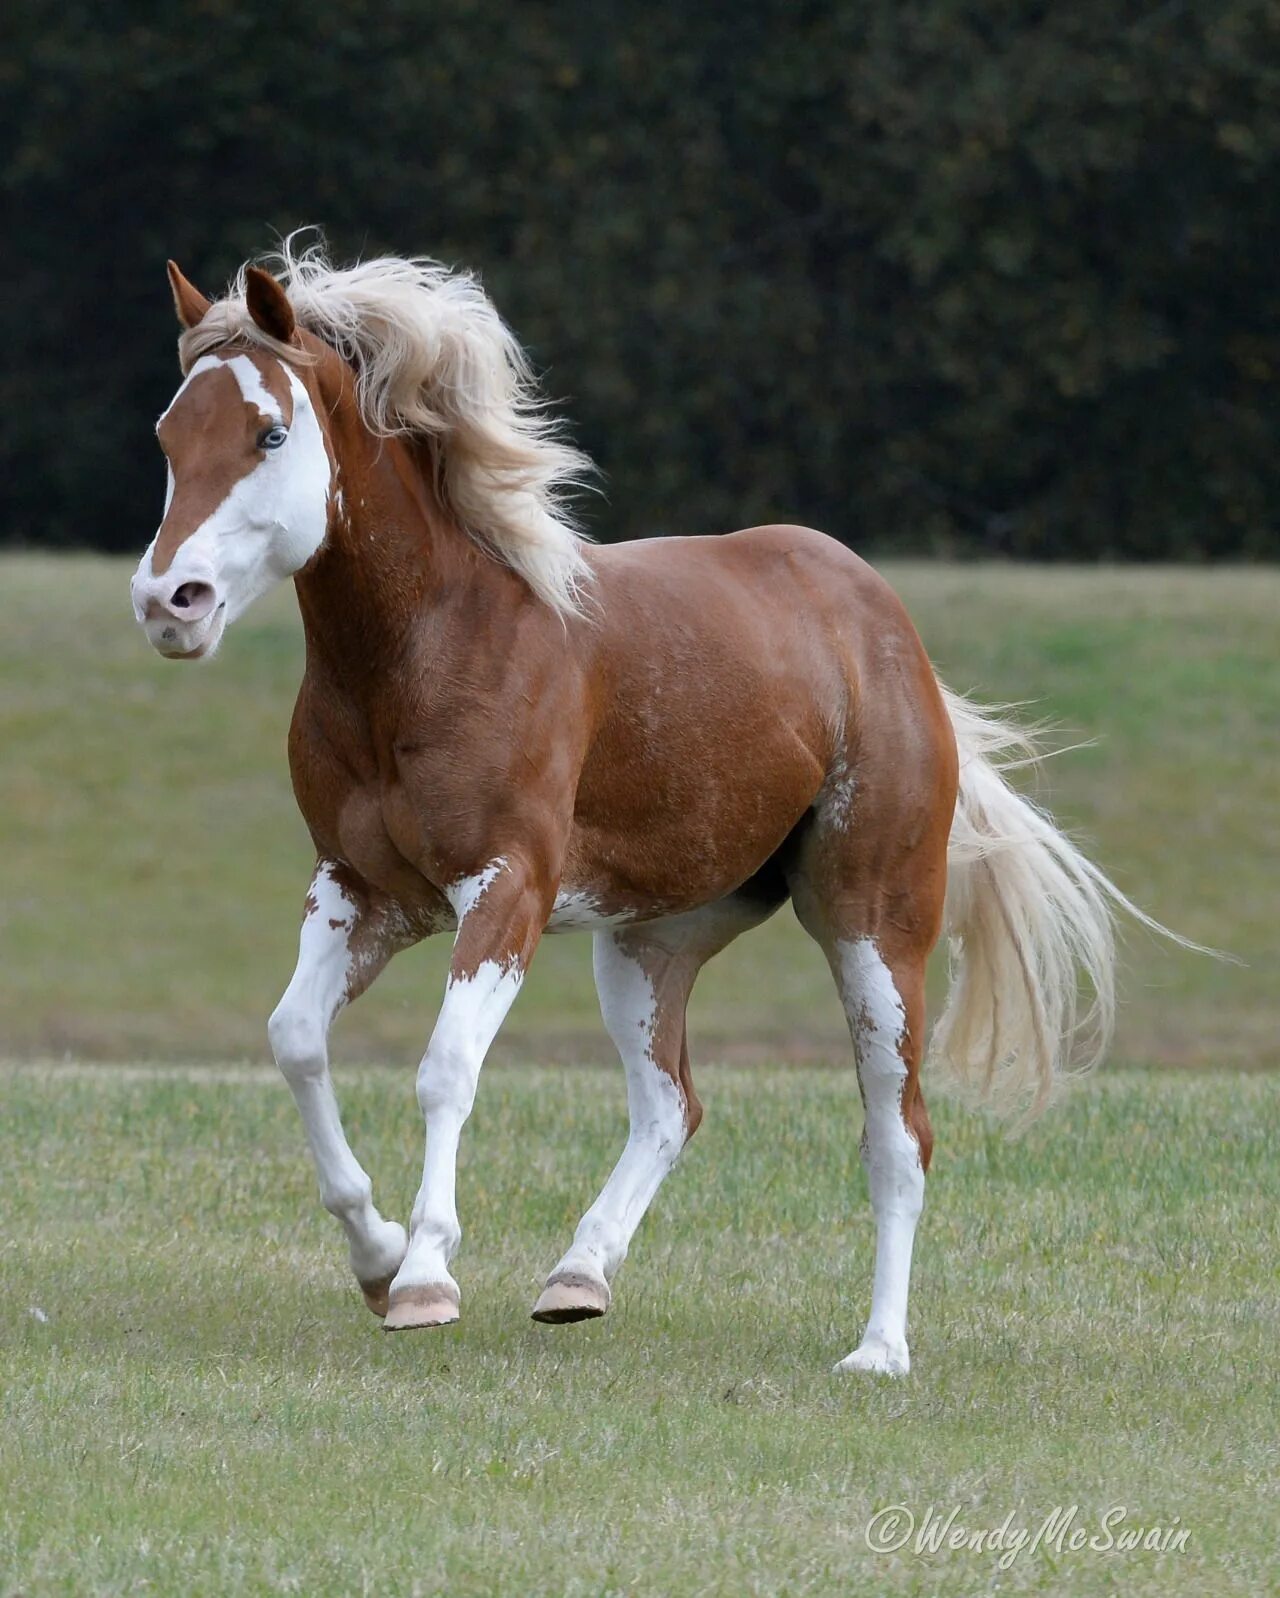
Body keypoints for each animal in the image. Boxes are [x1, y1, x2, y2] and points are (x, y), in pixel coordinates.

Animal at [135, 236, 1163, 1374]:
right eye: (171, 434)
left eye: (269, 431)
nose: (168, 601)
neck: (424, 650)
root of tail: (882, 623)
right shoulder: (363, 893)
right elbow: (295, 1040)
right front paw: (377, 1253)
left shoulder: (505, 890)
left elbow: (446, 1068)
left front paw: (425, 1277)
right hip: (647, 941)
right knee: (672, 1104)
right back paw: (577, 1276)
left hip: (871, 926)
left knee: (897, 1133)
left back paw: (877, 1350)